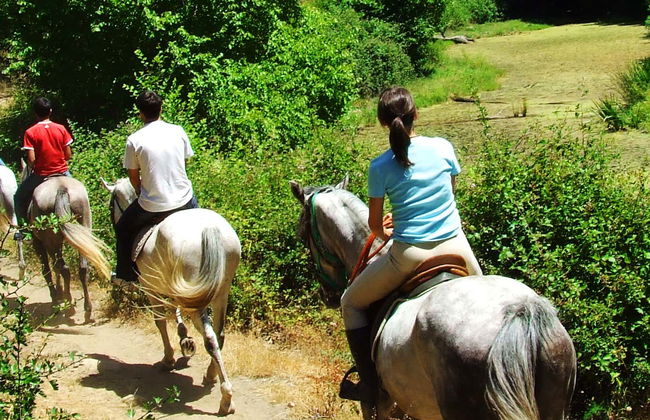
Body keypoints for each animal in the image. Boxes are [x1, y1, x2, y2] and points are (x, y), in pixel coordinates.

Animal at [16, 173, 111, 323]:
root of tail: (61, 187)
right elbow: (56, 268)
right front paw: (60, 293)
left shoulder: (39, 243)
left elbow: (47, 270)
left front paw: (56, 298)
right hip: (83, 228)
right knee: (82, 268)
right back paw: (87, 309)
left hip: (50, 239)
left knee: (63, 268)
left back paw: (68, 303)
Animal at [101, 178, 241, 416]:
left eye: (112, 205)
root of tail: (210, 229)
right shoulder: (175, 288)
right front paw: (184, 338)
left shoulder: (150, 288)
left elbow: (159, 321)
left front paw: (168, 358)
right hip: (220, 292)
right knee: (219, 334)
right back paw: (211, 375)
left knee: (210, 338)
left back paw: (226, 398)